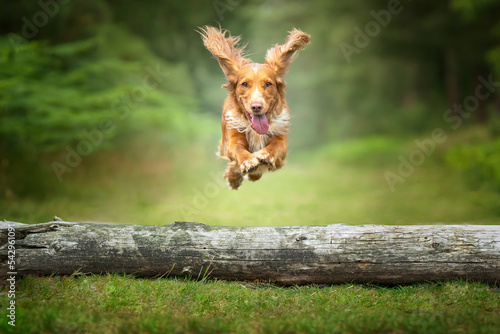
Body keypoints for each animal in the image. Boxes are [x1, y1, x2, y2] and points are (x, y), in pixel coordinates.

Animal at [198, 25, 308, 188]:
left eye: (268, 83)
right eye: (244, 84)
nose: (256, 106)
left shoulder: (281, 139)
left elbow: (275, 146)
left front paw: (264, 155)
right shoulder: (232, 138)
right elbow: (237, 149)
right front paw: (248, 162)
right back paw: (235, 178)